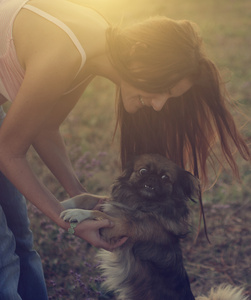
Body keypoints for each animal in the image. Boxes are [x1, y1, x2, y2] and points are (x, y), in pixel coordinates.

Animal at [60, 155, 247, 300]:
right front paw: (65, 203)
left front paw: (76, 213)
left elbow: (98, 213)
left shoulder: (117, 227)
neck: (143, 203)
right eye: (143, 171)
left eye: (165, 177)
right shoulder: (111, 204)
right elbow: (88, 197)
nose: (152, 178)